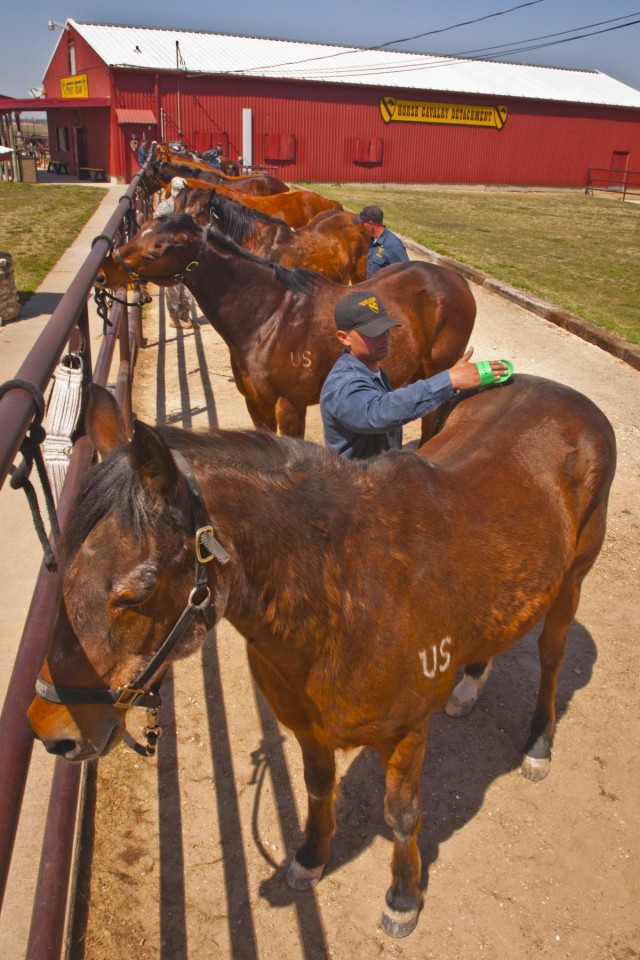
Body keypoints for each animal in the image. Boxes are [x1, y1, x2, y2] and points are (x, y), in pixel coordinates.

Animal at [28, 377, 616, 938]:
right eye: (61, 570)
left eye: (132, 594)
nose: (50, 730)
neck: (349, 590)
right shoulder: (307, 728)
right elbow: (316, 788)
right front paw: (310, 858)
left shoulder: (407, 733)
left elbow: (402, 815)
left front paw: (403, 897)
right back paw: (468, 684)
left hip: (572, 581)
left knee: (552, 658)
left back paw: (538, 744)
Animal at [95, 214, 476, 439]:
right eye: (139, 230)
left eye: (157, 249)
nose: (102, 273)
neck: (268, 316)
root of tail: (457, 282)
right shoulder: (257, 405)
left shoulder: (289, 406)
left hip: (438, 367)